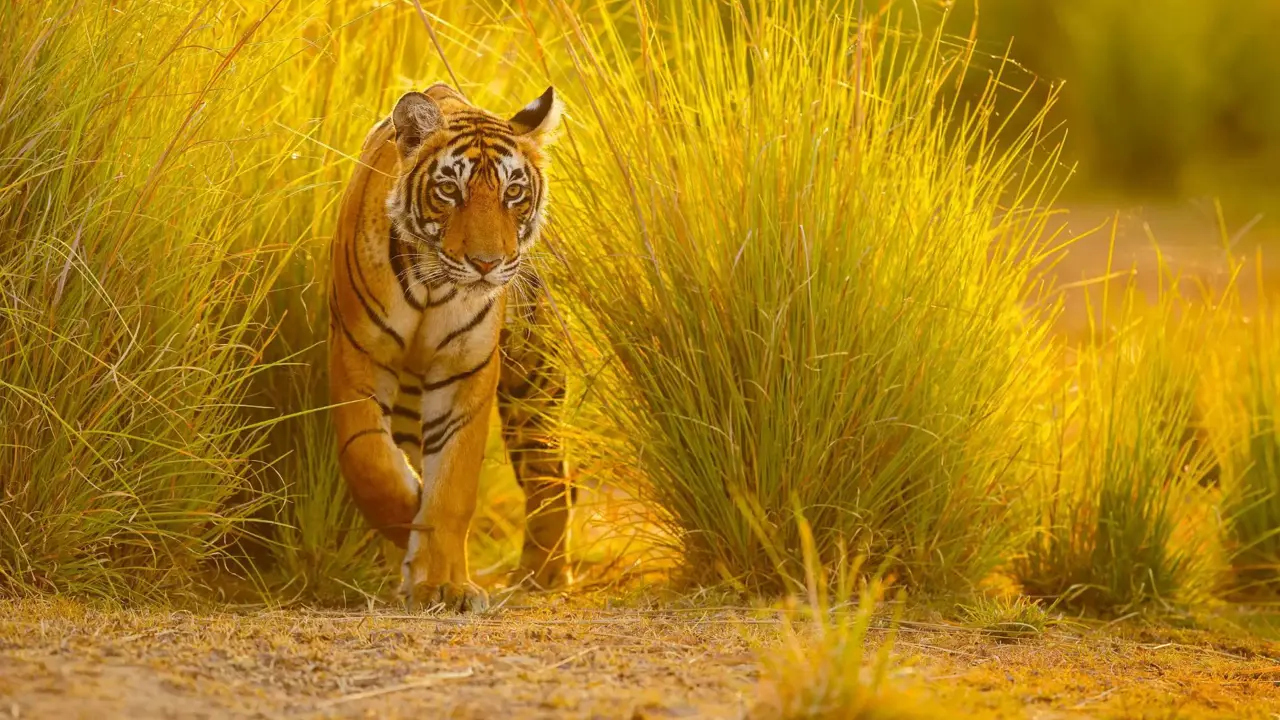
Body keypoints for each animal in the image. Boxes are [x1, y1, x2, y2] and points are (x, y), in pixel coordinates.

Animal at [328, 83, 571, 612]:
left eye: (513, 192)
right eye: (449, 191)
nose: (487, 263)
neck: (433, 286)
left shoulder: (466, 370)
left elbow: (453, 485)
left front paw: (444, 585)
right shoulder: (359, 354)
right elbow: (371, 461)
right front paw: (410, 519)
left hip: (534, 382)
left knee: (551, 476)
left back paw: (541, 574)